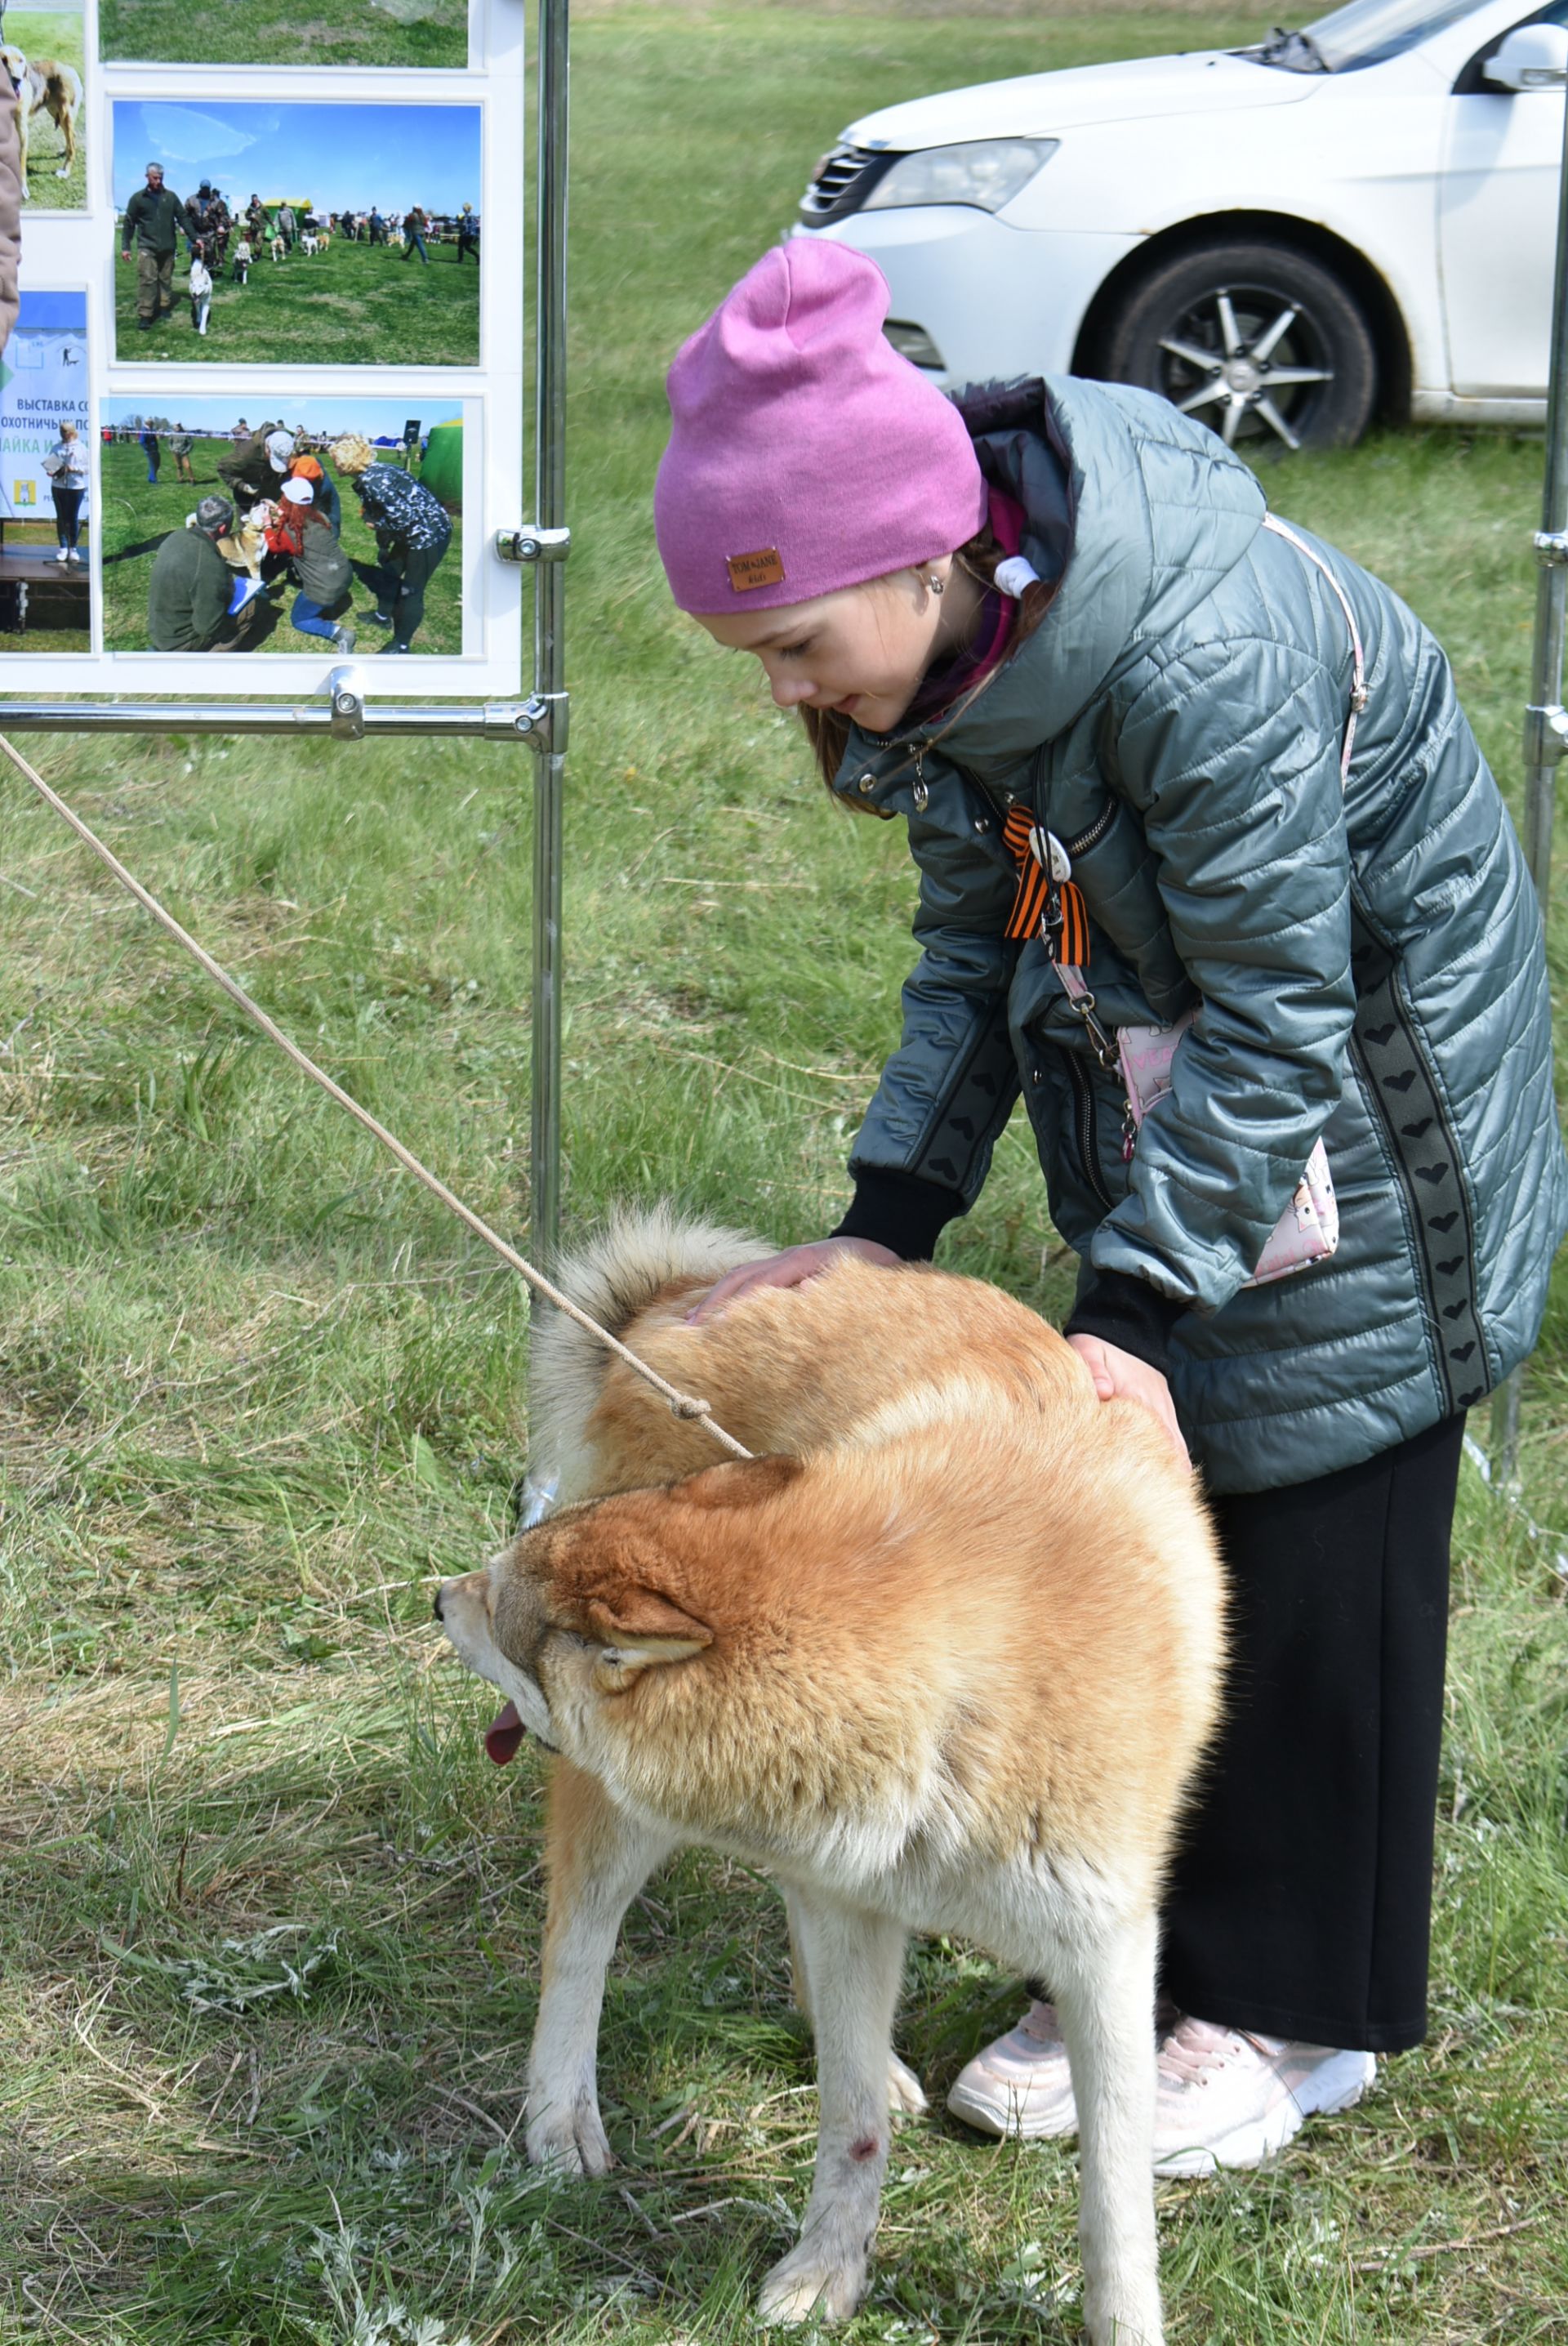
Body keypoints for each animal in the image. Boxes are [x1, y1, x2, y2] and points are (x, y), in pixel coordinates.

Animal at [0, 47, 81, 191]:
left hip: (65, 114)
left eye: (21, 61)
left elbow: (21, 162)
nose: (17, 80)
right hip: (55, 111)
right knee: (72, 137)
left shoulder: (22, 130)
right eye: (3, 59)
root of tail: (70, 69)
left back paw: (65, 172)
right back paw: (63, 152)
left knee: (72, 145)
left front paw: (22, 189)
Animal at [438, 1220, 1218, 2336]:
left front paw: (1124, 2325)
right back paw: (560, 2118)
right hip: (627, 1820)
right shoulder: (856, 1904)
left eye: (496, 1601)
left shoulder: (1103, 1958)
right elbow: (845, 2125)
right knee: (577, 1945)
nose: (436, 1596)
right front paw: (826, 2271)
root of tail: (675, 1301)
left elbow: (1115, 2209)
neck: (958, 1693)